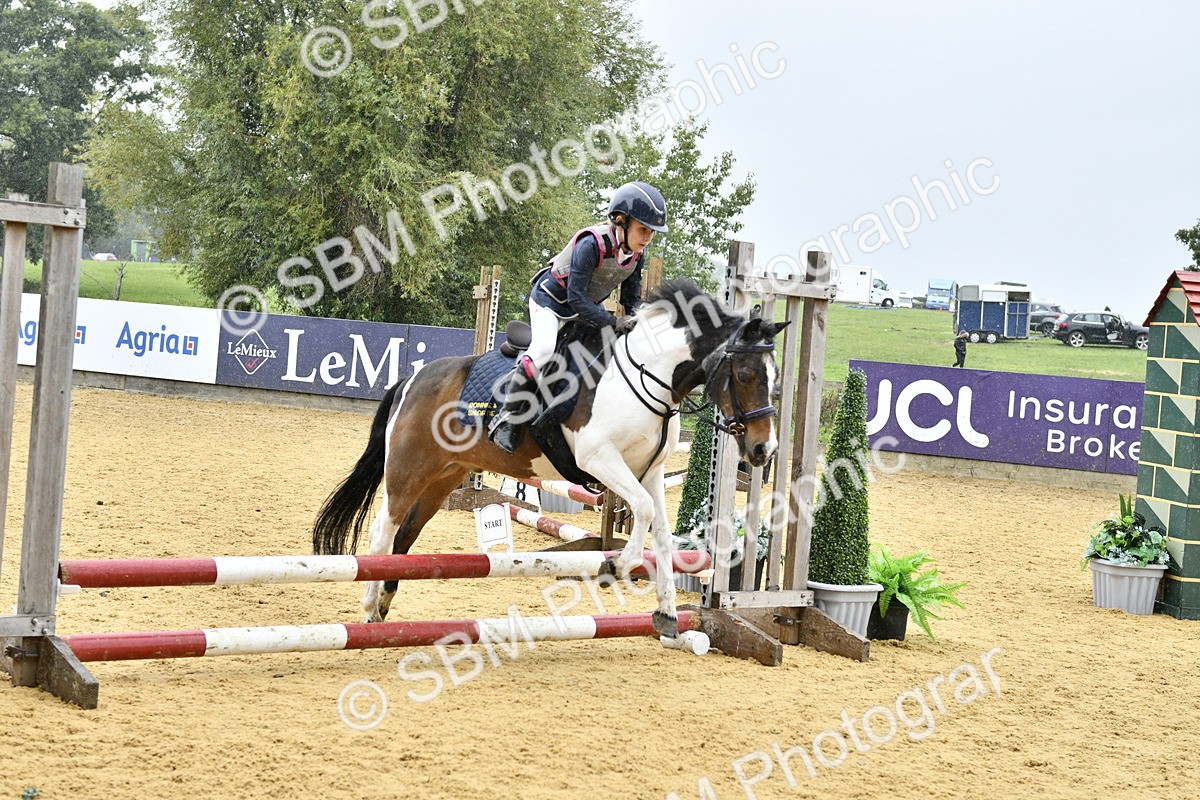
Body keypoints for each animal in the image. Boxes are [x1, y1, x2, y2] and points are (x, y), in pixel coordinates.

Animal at [312, 278, 789, 643]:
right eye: (745, 374)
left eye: (776, 379)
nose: (764, 451)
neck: (648, 375)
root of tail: (413, 378)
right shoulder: (600, 459)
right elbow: (642, 511)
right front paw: (617, 565)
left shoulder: (650, 472)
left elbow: (662, 533)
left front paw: (668, 616)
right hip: (408, 470)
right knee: (383, 531)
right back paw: (369, 608)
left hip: (444, 476)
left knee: (406, 535)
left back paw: (385, 603)